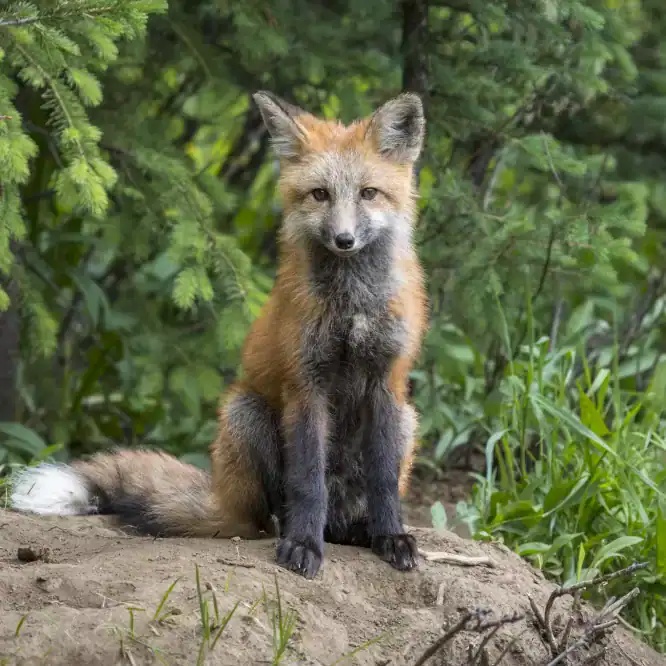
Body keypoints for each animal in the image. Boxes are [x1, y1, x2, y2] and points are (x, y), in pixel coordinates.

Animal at [9, 90, 429, 579]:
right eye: (320, 195)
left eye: (368, 193)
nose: (344, 240)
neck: (351, 306)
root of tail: (224, 498)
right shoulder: (305, 383)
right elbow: (308, 481)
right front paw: (303, 544)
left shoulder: (387, 380)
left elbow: (384, 478)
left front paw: (391, 537)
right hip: (244, 412)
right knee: (267, 516)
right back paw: (293, 529)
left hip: (407, 418)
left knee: (351, 509)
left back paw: (359, 531)